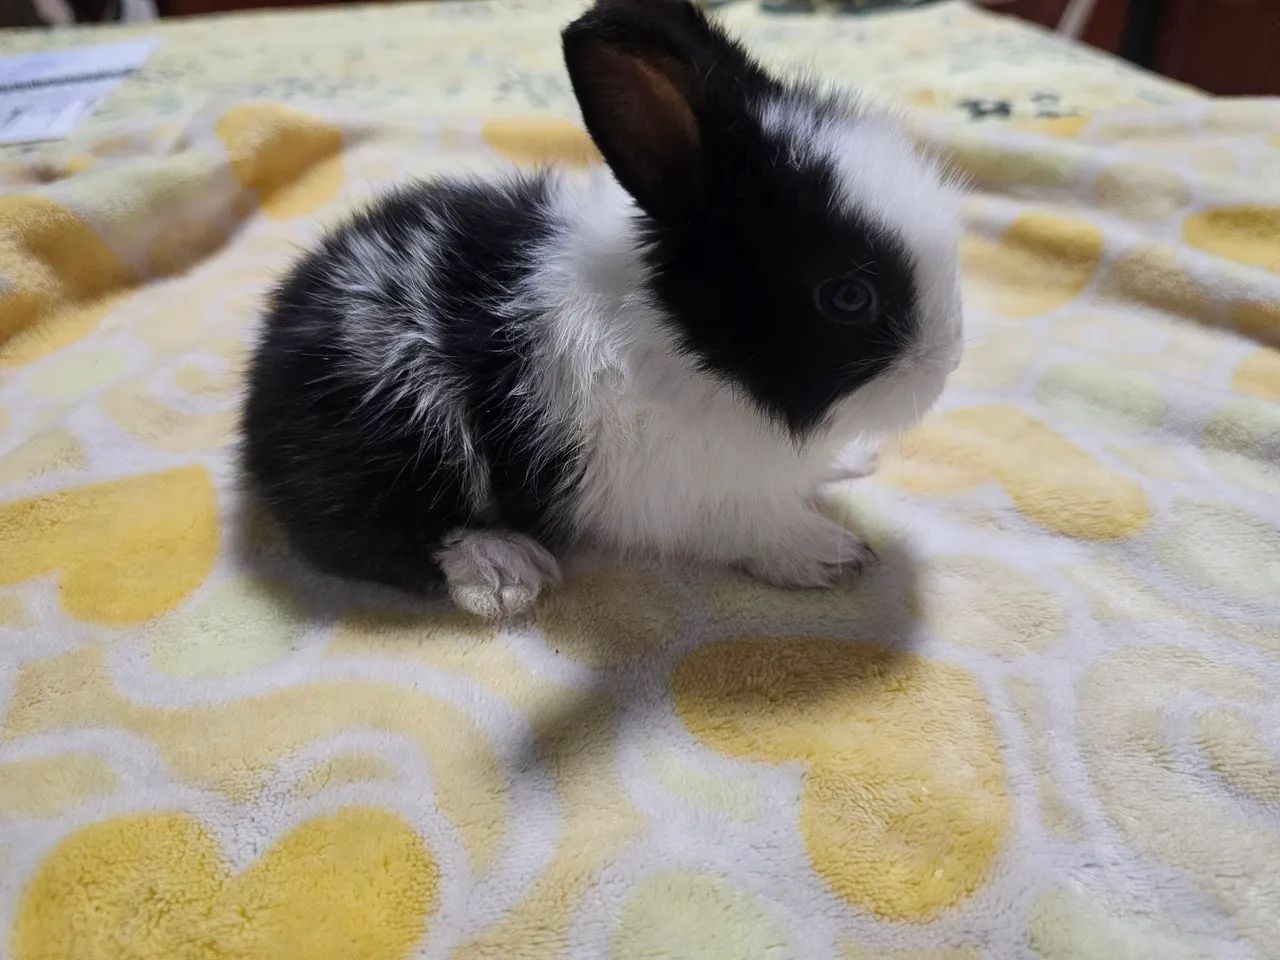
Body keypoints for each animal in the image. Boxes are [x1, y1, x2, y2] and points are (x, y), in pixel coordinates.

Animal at [241, 0, 964, 620]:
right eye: (848, 297)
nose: (950, 360)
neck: (684, 346)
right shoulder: (685, 494)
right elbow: (753, 524)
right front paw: (828, 554)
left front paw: (850, 462)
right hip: (397, 431)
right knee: (370, 534)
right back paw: (502, 570)